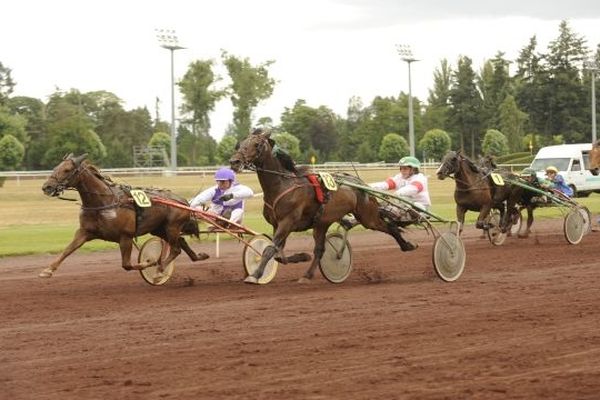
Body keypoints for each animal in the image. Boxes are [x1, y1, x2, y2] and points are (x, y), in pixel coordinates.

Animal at [39, 153, 206, 278]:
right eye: (55, 168)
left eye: (67, 170)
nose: (47, 187)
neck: (104, 202)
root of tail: (182, 201)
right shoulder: (84, 232)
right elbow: (68, 250)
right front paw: (48, 270)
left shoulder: (125, 236)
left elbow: (126, 265)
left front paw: (149, 263)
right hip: (159, 229)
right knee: (181, 242)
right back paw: (199, 256)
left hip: (172, 227)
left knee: (176, 249)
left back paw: (160, 269)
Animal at [230, 130, 418, 282]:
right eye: (241, 143)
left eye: (256, 144)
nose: (234, 161)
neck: (282, 185)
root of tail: (361, 184)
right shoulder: (277, 225)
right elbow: (278, 254)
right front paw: (301, 256)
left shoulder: (287, 222)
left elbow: (270, 250)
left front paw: (254, 275)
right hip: (321, 223)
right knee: (320, 249)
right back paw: (307, 275)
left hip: (367, 217)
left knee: (389, 227)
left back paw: (407, 245)